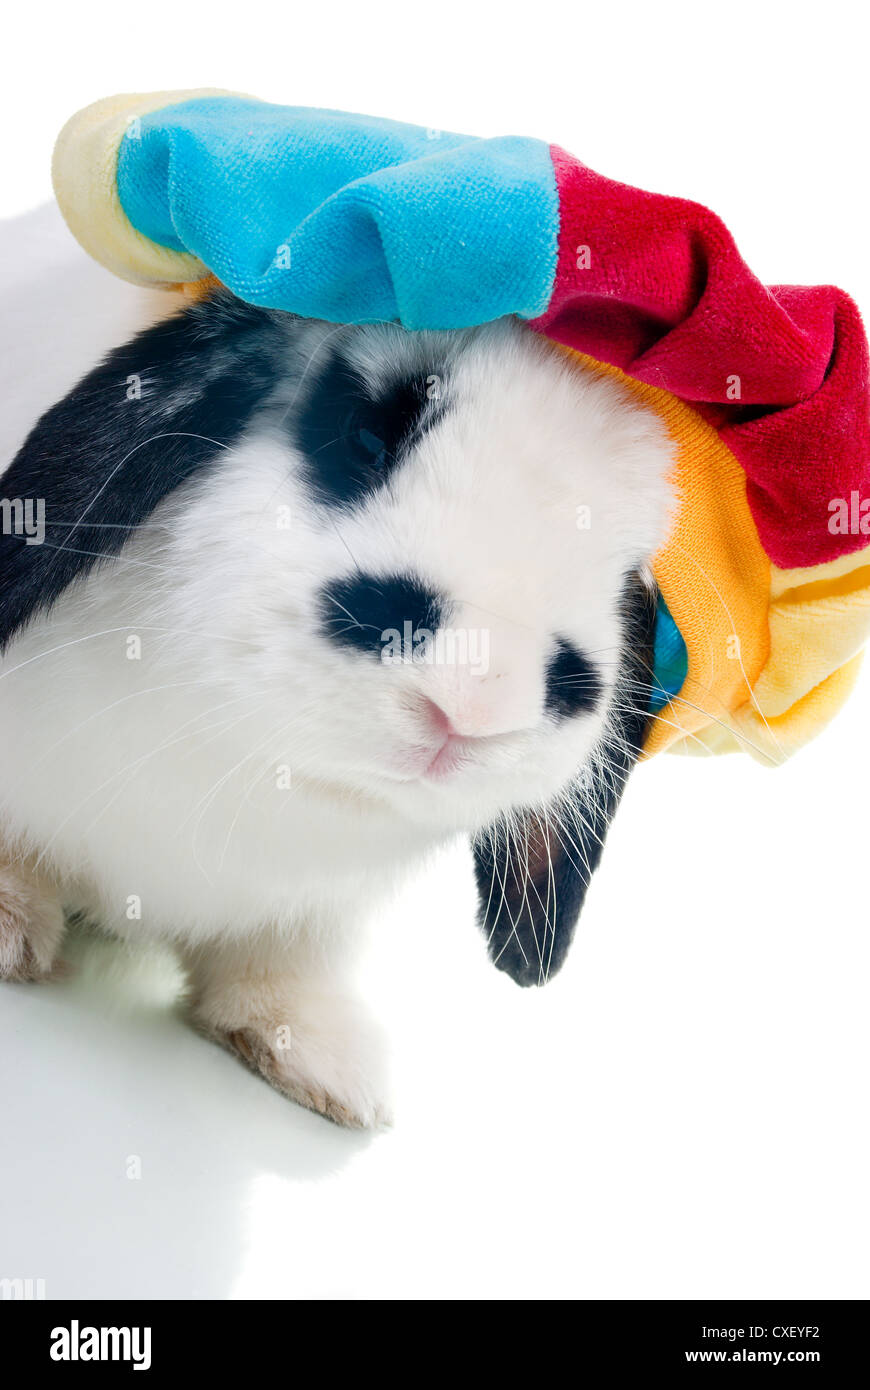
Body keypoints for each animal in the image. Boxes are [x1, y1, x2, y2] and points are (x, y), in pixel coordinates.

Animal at [0, 206, 676, 1126]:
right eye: (364, 433)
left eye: (629, 575)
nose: (477, 701)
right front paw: (6, 922)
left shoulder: (317, 914)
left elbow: (278, 968)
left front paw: (320, 1063)